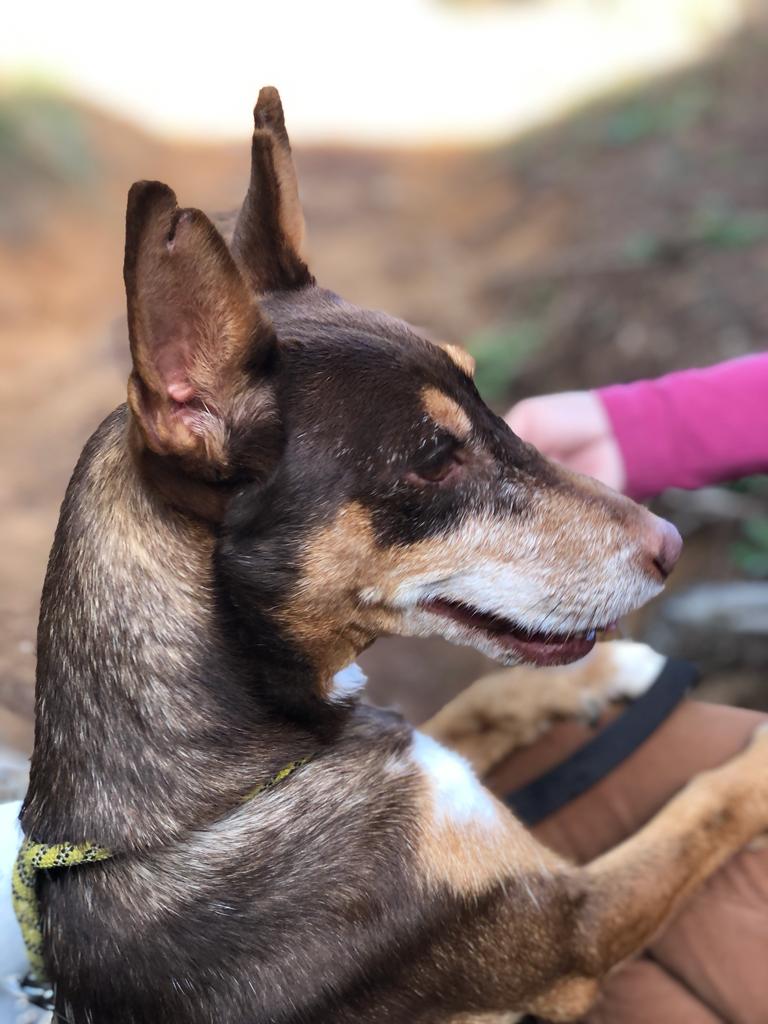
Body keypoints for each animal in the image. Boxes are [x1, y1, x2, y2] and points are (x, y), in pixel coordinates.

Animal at [19, 87, 768, 1024]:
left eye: (483, 396)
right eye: (436, 458)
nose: (670, 545)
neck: (217, 797)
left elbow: (477, 701)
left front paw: (604, 674)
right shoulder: (569, 921)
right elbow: (708, 802)